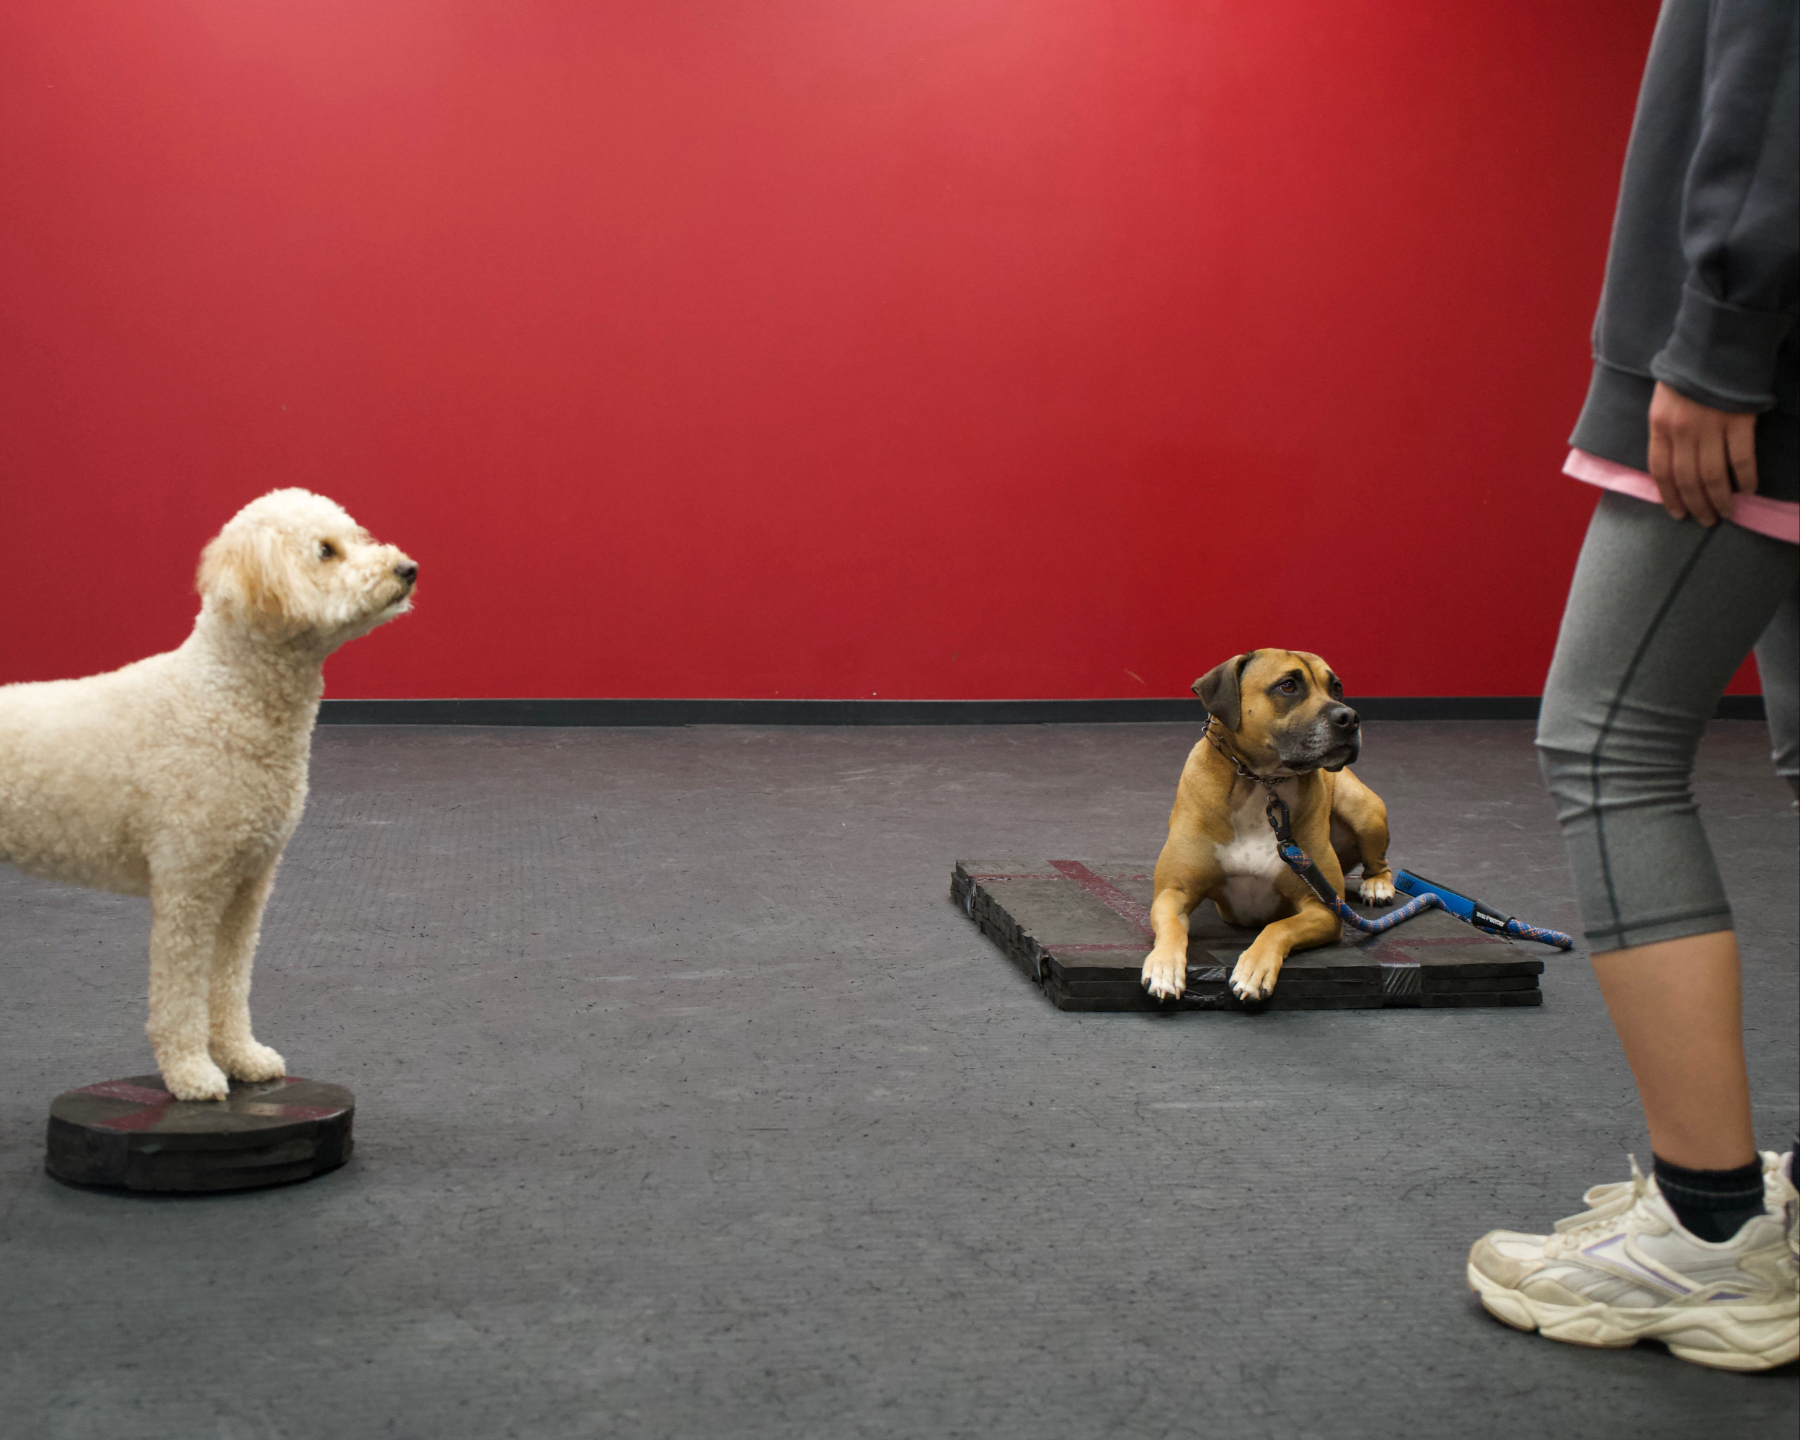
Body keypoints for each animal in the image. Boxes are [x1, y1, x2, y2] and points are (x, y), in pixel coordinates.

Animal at [0, 490, 416, 1100]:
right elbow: (180, 992)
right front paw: (192, 1073)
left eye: (355, 536)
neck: (223, 695)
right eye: (325, 550)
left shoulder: (246, 882)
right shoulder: (189, 883)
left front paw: (243, 1056)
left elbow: (229, 981)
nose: (407, 569)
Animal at [1141, 649, 1396, 1004]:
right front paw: (1164, 966)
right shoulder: (1173, 892)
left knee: (1379, 862)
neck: (1262, 782)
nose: (1349, 717)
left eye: (1337, 687)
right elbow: (1172, 928)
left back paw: (1378, 886)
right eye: (1287, 686)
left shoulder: (1323, 909)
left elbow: (1278, 927)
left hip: (1363, 809)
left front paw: (1254, 969)